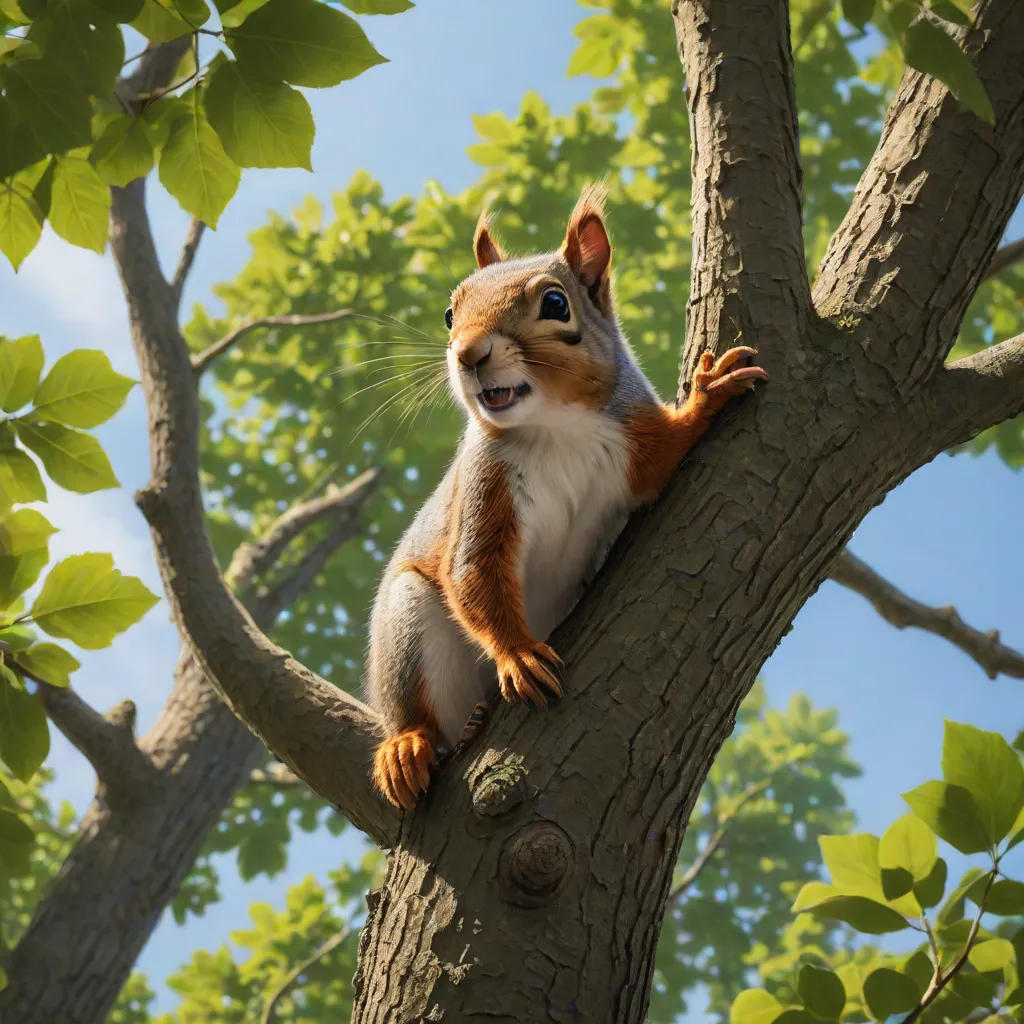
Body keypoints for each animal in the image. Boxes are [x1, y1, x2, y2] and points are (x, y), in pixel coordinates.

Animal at [366, 185, 767, 809]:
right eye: (451, 314)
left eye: (556, 304)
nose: (467, 353)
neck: (556, 426)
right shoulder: (485, 488)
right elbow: (474, 571)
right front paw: (518, 655)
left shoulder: (638, 443)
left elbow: (668, 452)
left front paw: (709, 393)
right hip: (405, 631)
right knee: (417, 709)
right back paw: (407, 746)